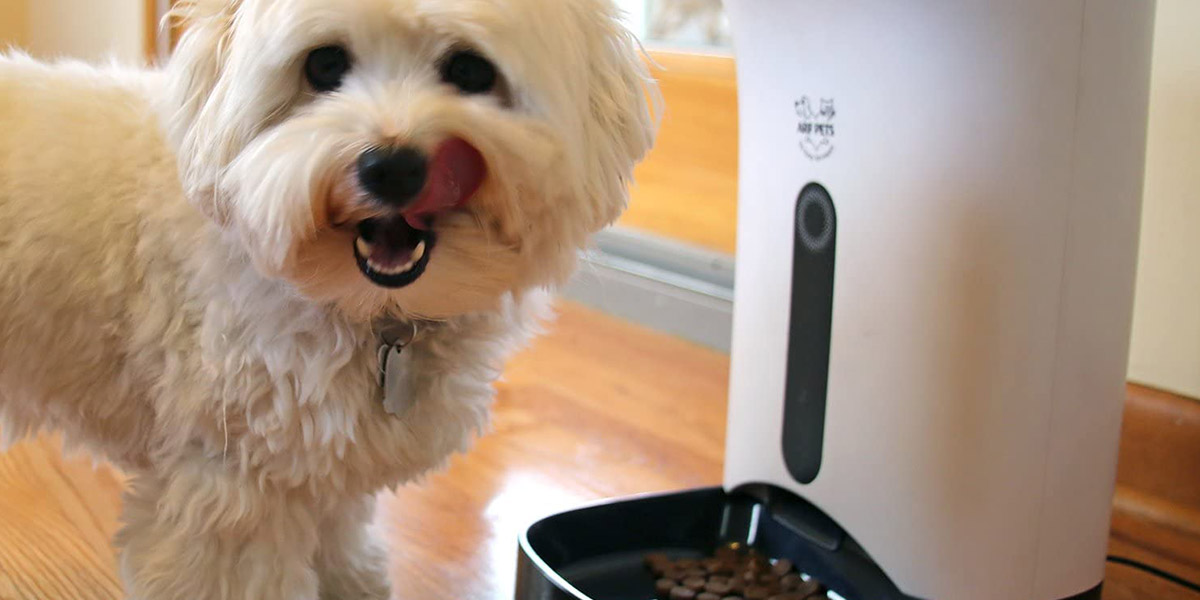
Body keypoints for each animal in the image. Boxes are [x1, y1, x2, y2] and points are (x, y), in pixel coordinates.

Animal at [0, 1, 657, 595]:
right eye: (323, 64)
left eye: (471, 70)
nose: (391, 167)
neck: (365, 311)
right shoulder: (230, 486)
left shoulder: (323, 458)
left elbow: (338, 533)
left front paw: (352, 580)